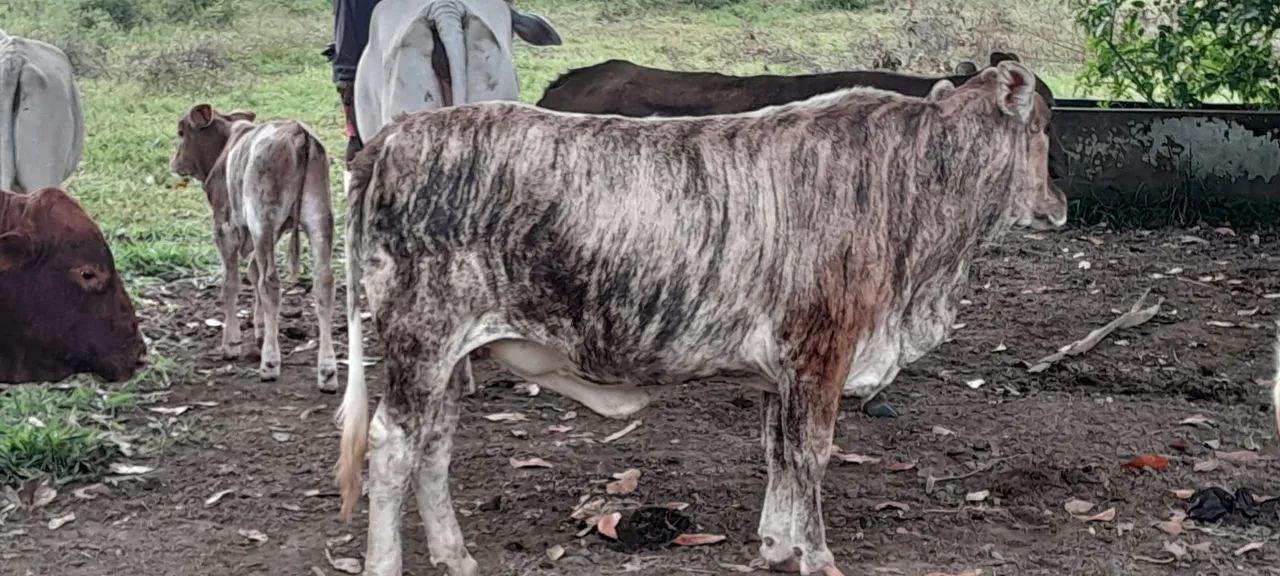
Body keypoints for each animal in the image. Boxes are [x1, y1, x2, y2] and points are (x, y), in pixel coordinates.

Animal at [169, 105, 337, 392]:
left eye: (181, 131)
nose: (175, 162)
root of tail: (297, 132)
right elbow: (253, 272)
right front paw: (260, 328)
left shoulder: (225, 228)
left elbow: (232, 282)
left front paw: (231, 342)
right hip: (319, 218)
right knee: (323, 282)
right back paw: (327, 370)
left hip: (263, 219)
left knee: (271, 282)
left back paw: (270, 363)